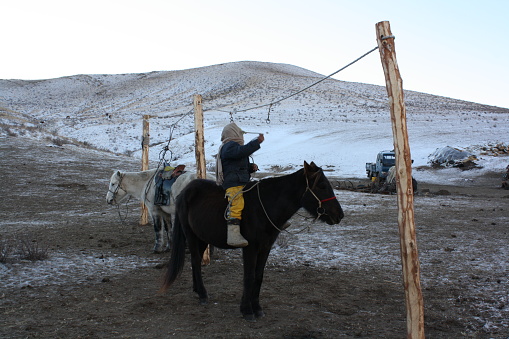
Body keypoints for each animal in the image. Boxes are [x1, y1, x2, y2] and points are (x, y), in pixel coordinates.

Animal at [162, 162, 346, 322]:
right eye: (321, 186)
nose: (339, 215)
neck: (265, 206)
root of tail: (184, 191)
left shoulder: (266, 247)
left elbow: (258, 276)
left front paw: (257, 308)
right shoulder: (250, 248)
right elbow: (249, 276)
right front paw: (246, 310)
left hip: (202, 238)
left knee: (197, 261)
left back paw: (197, 290)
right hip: (191, 236)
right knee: (194, 260)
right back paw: (202, 293)